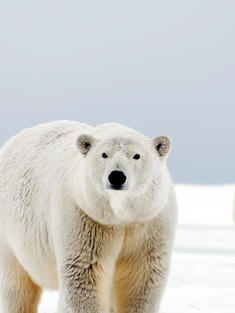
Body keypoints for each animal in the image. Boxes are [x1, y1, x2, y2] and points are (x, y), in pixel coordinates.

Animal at [0, 120, 177, 312]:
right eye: (104, 154)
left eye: (136, 155)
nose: (116, 176)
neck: (119, 217)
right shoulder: (85, 217)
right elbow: (84, 273)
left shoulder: (149, 222)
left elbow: (140, 278)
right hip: (10, 235)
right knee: (16, 287)